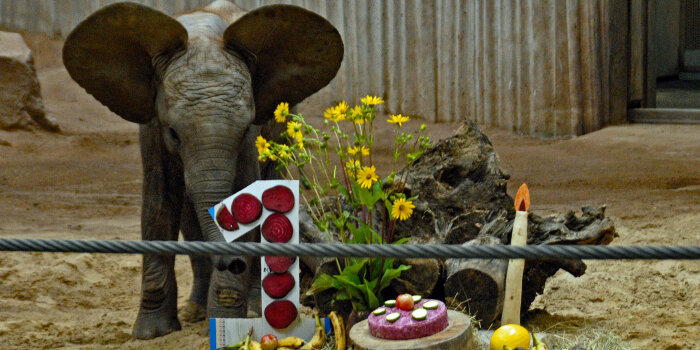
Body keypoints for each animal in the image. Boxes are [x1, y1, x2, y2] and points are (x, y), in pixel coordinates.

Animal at [64, 0, 344, 340]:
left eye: (244, 131)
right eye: (173, 133)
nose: (233, 263)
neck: (202, 35)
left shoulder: (251, 140)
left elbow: (247, 199)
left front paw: (225, 321)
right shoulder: (152, 126)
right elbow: (158, 205)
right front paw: (151, 333)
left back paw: (250, 308)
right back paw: (195, 311)